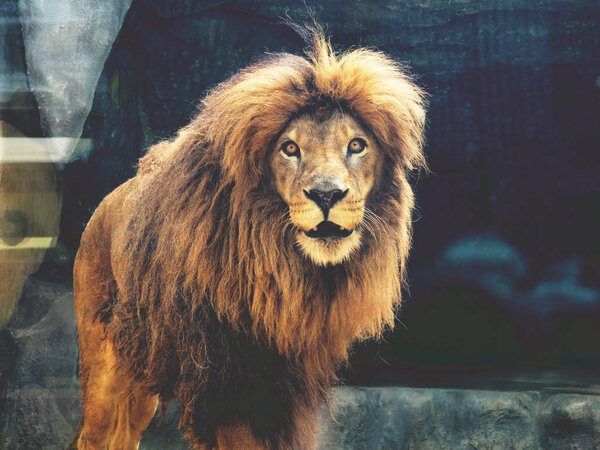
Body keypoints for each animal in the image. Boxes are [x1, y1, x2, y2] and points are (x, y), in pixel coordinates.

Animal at [69, 26, 426, 448]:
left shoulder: (287, 383)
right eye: (289, 148)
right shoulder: (230, 379)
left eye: (356, 145)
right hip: (107, 370)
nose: (326, 195)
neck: (284, 271)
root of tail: (103, 204)